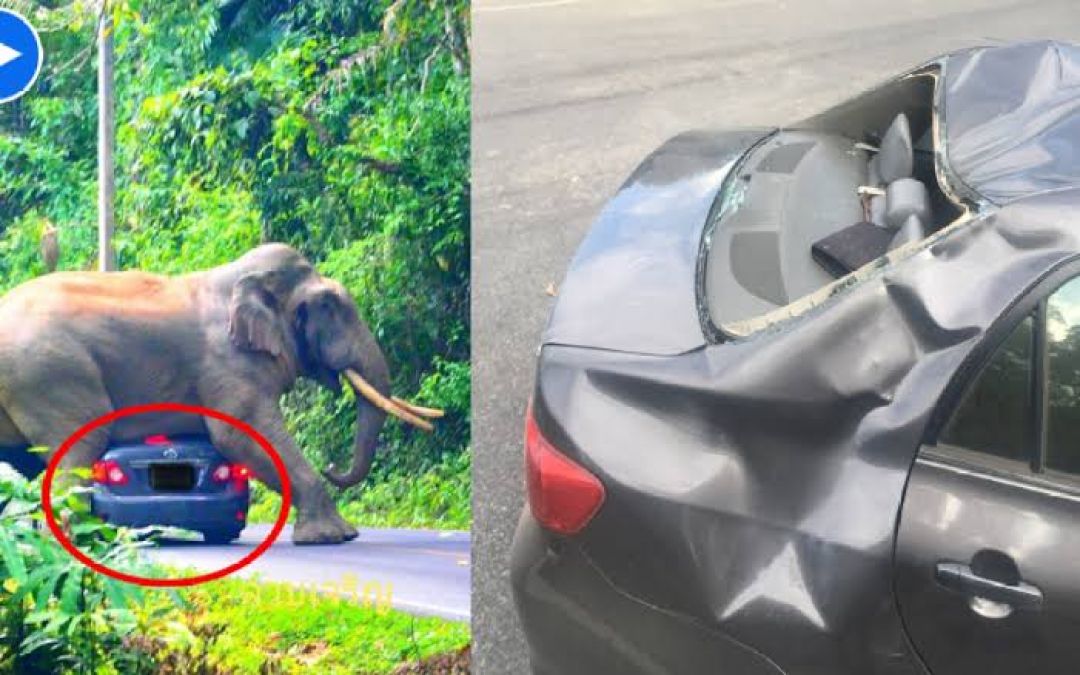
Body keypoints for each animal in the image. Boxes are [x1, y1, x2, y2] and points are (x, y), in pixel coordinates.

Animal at [0, 241, 434, 542]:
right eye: (329, 305)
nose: (333, 467)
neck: (237, 278)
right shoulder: (228, 362)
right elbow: (239, 434)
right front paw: (334, 537)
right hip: (52, 373)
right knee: (80, 446)